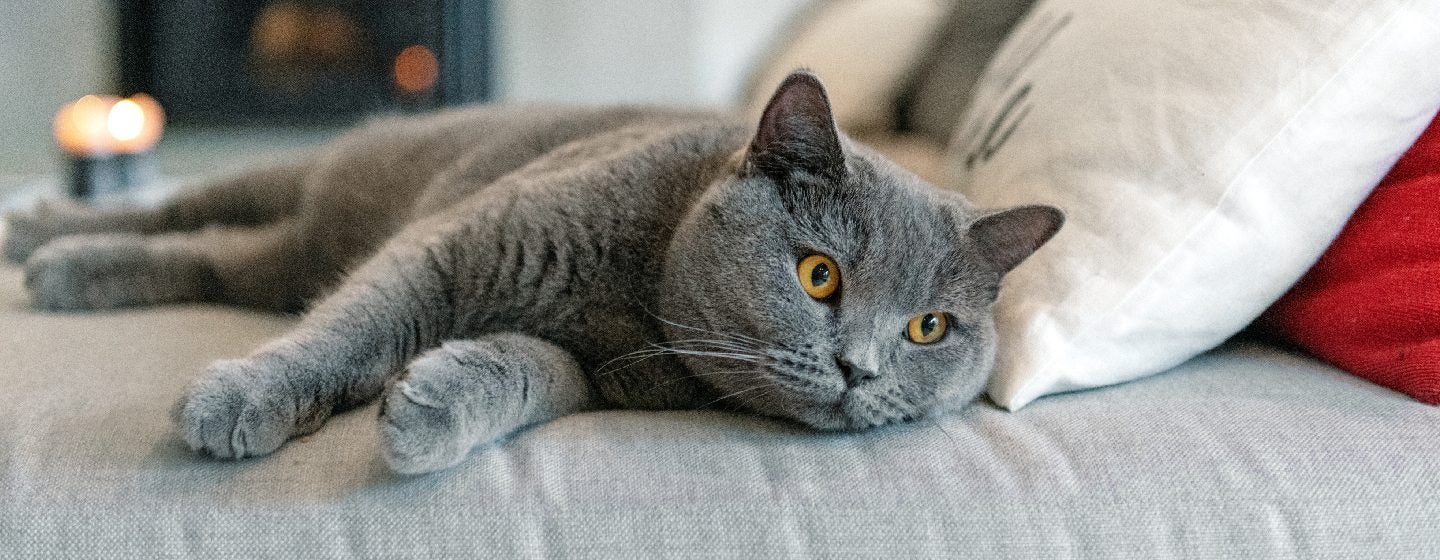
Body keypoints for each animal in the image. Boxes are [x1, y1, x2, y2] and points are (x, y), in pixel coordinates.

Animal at [0, 71, 1059, 472]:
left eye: (930, 329)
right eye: (820, 277)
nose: (861, 370)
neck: (636, 302)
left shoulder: (599, 376)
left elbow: (536, 371)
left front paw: (434, 405)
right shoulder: (449, 245)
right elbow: (353, 326)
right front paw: (247, 398)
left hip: (283, 251)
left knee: (219, 260)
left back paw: (73, 268)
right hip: (318, 175)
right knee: (186, 207)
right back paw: (44, 236)